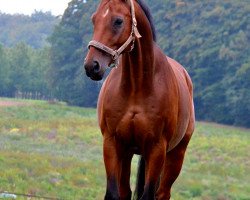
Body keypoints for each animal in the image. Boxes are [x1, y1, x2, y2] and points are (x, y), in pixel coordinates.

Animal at [84, 0, 195, 199]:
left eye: (118, 21)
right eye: (94, 19)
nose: (92, 66)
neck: (137, 87)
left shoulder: (157, 149)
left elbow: (148, 194)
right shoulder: (112, 143)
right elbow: (114, 193)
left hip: (176, 155)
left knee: (162, 193)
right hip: (128, 154)